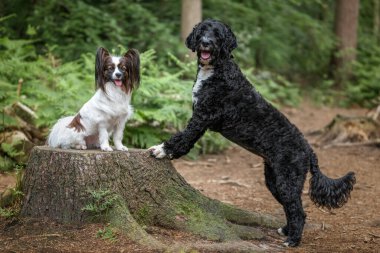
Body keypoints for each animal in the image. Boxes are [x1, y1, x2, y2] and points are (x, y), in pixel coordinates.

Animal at [147, 19, 354, 247]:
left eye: (217, 34)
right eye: (202, 31)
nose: (206, 42)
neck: (218, 70)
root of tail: (309, 150)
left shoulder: (202, 117)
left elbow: (183, 138)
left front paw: (162, 150)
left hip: (288, 180)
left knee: (299, 211)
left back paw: (293, 240)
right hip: (274, 180)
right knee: (290, 208)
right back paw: (286, 230)